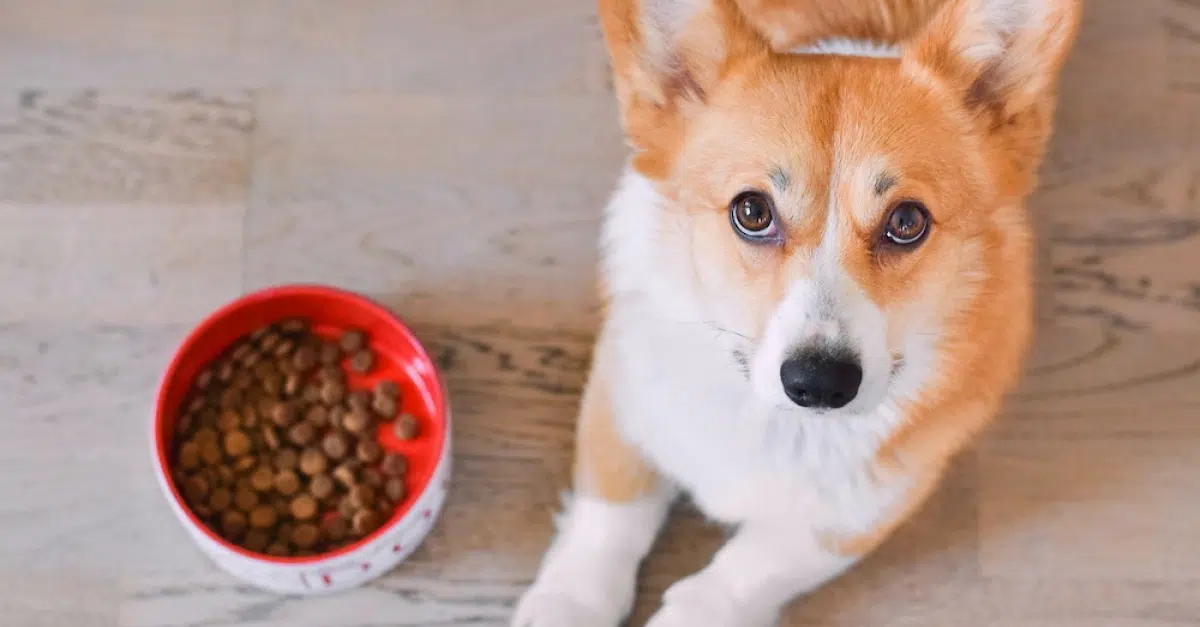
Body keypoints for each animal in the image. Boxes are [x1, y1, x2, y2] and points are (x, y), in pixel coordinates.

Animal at [513, 1, 1080, 624]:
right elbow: (611, 514)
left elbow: (755, 565)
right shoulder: (622, 394)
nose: (821, 384)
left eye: (908, 222)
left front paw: (700, 608)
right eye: (752, 212)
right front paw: (570, 602)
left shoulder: (869, 503)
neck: (777, 422)